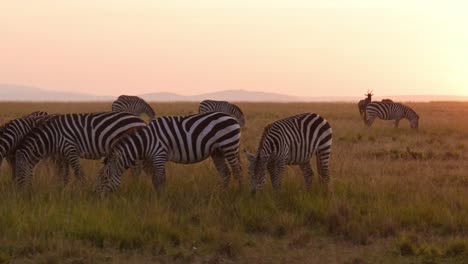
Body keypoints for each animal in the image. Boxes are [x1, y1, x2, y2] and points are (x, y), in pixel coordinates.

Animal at [14, 111, 146, 188]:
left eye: (19, 173)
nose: (19, 194)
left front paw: (84, 189)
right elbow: (64, 174)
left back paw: (135, 186)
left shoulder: (70, 149)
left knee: (136, 170)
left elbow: (78, 173)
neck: (52, 136)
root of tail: (141, 120)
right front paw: (62, 188)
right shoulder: (62, 155)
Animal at [95, 110, 241, 193]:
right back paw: (223, 194)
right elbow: (159, 179)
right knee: (225, 173)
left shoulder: (159, 154)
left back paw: (240, 193)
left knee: (237, 171)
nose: (95, 196)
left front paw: (161, 199)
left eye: (104, 178)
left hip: (229, 145)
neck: (146, 142)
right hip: (217, 151)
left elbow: (158, 179)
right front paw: (160, 196)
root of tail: (232, 118)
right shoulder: (157, 157)